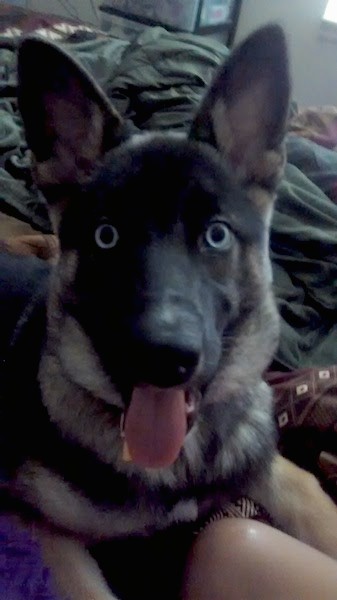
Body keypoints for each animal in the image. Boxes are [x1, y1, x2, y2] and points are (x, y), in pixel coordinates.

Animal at [1, 22, 336, 600]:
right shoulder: (44, 532)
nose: (163, 359)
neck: (182, 459)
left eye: (216, 235)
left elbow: (319, 506)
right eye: (107, 237)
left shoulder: (280, 473)